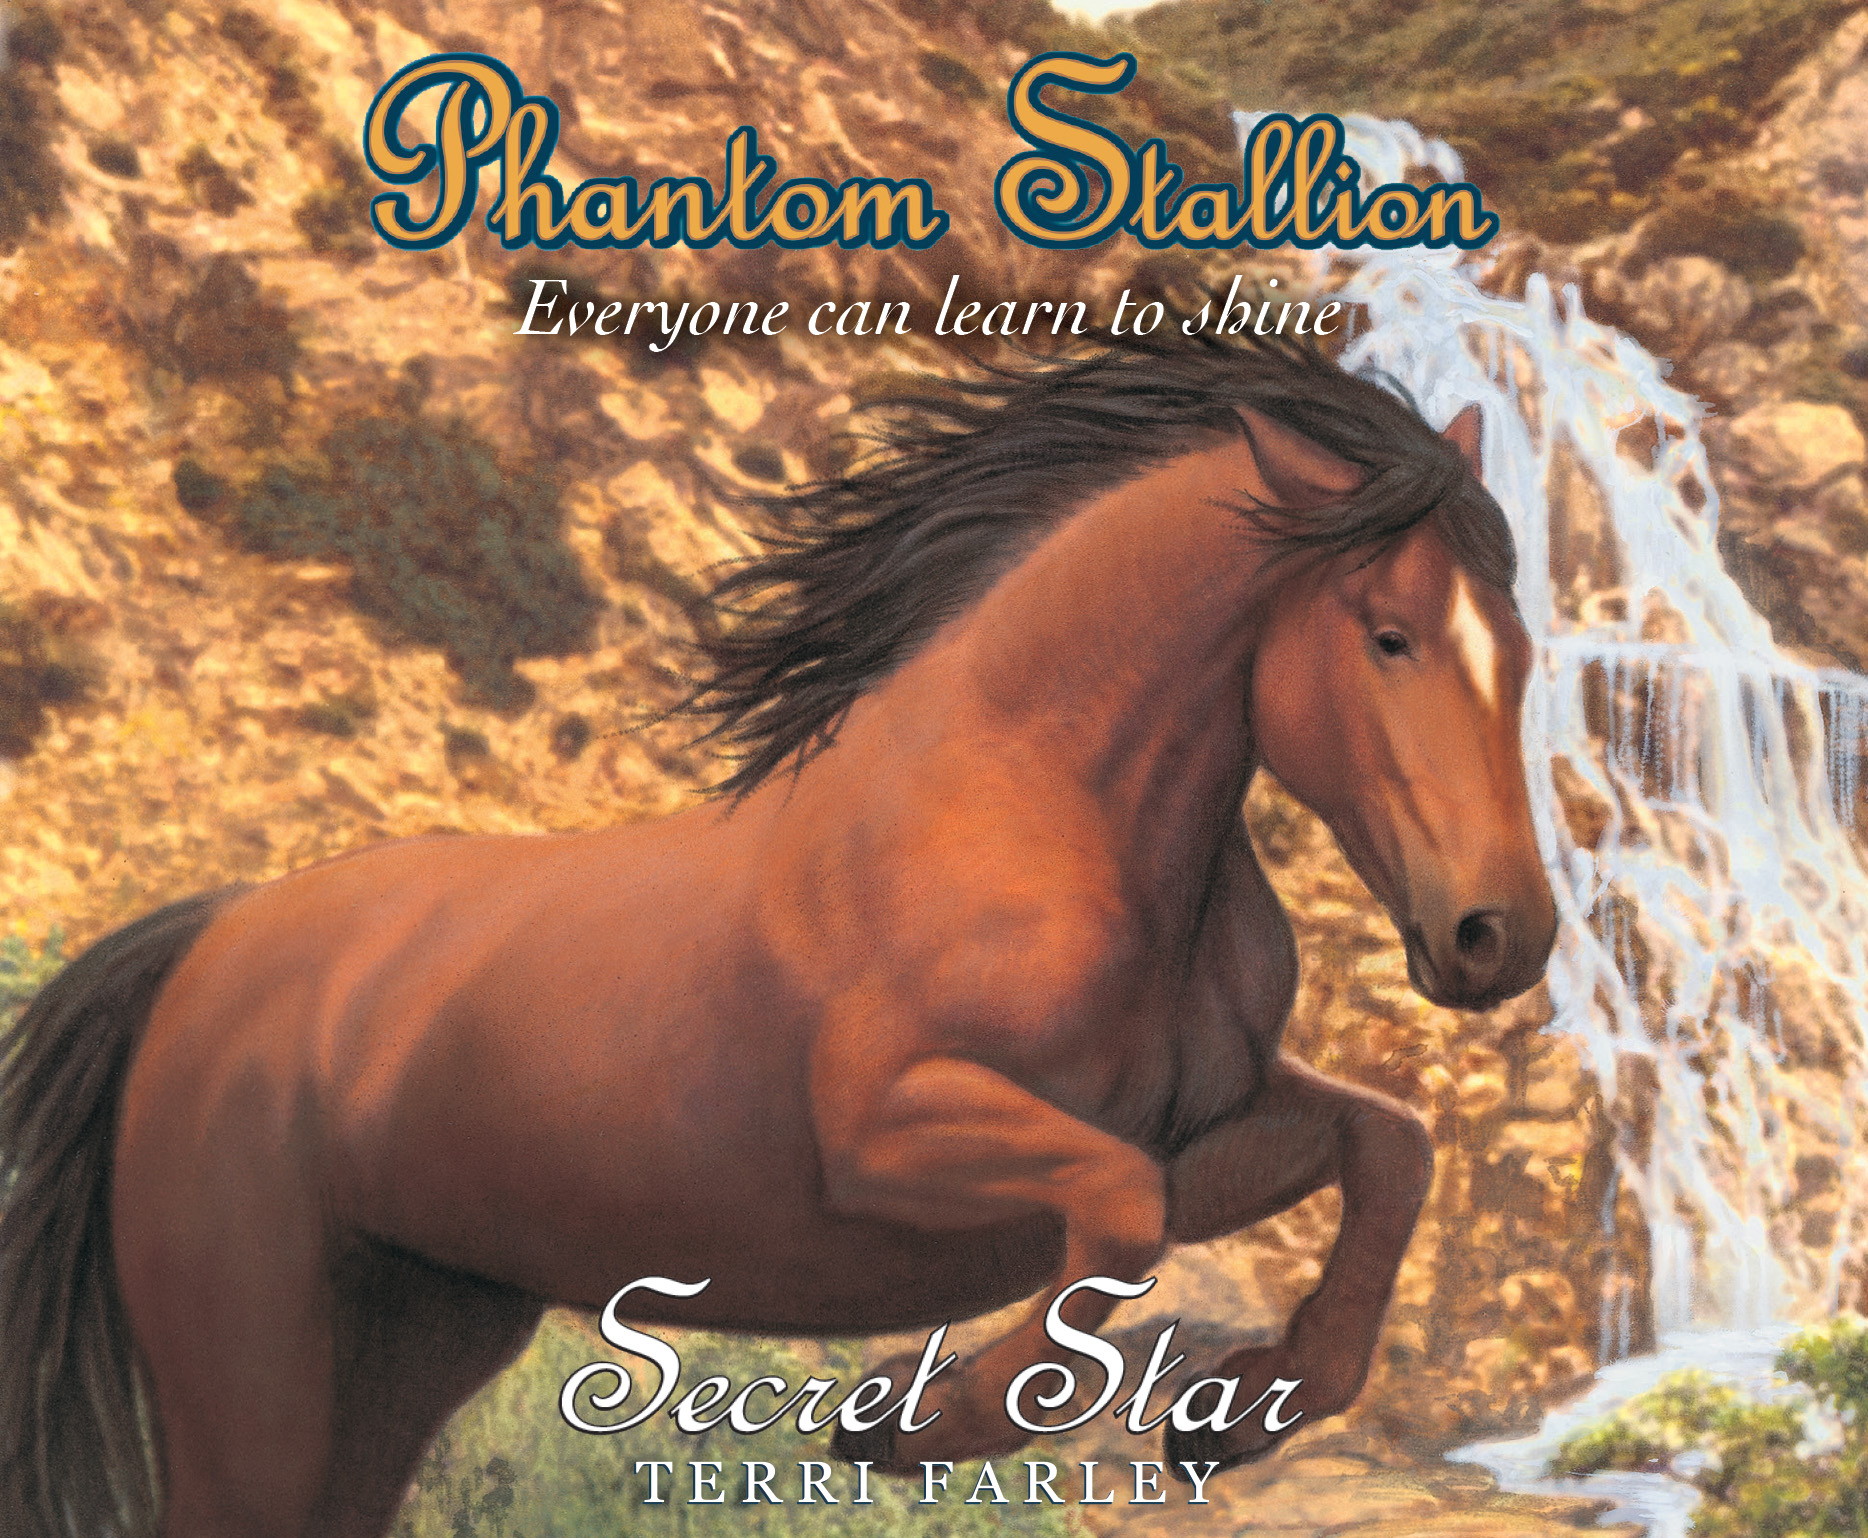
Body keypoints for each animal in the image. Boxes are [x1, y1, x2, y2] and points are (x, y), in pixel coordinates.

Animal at [0, 330, 1556, 1538]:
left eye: (1522, 642)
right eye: (1388, 633)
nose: (1501, 938)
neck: (1043, 808)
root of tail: (211, 936)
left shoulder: (1216, 1126)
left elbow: (1384, 1145)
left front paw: (1237, 1413)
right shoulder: (889, 1136)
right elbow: (1120, 1210)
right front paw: (905, 1421)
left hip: (410, 1342)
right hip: (259, 1369)